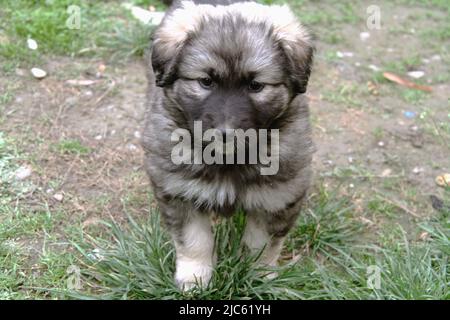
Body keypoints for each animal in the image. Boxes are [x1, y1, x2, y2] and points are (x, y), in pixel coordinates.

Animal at [142, 0, 314, 290]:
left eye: (256, 85)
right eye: (205, 81)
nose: (225, 134)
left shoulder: (277, 197)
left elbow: (260, 245)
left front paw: (258, 276)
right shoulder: (180, 191)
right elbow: (195, 240)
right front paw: (195, 277)